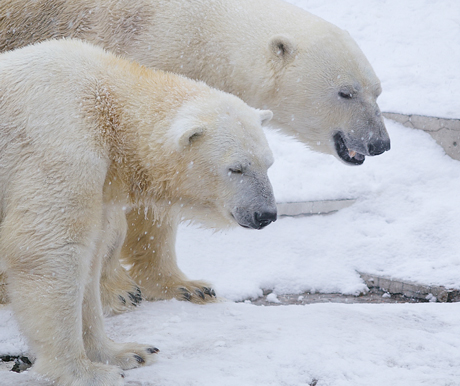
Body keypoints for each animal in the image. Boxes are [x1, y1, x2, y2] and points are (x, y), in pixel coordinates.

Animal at [0, 0, 390, 312]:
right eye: (345, 92)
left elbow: (157, 206)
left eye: (377, 91)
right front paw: (117, 291)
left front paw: (187, 287)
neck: (204, 34)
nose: (380, 143)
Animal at [0, 39, 274, 386]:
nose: (266, 214)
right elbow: (50, 250)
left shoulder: (102, 182)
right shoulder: (60, 141)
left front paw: (127, 352)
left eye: (269, 163)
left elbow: (90, 257)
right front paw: (87, 372)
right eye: (236, 168)